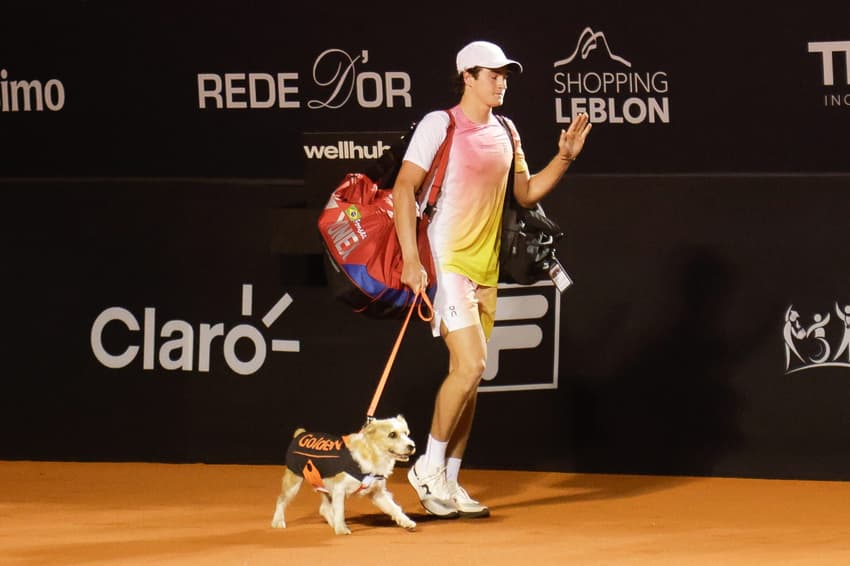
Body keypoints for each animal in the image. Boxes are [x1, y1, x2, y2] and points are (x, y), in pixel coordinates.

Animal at [270, 414, 416, 536]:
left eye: (406, 433)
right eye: (392, 434)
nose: (412, 446)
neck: (372, 455)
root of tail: (300, 434)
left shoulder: (378, 493)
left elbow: (394, 508)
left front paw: (406, 521)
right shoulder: (340, 490)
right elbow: (340, 511)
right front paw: (341, 529)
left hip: (324, 486)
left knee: (324, 508)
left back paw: (332, 522)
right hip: (293, 483)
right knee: (281, 500)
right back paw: (278, 521)